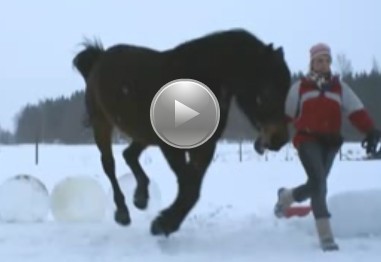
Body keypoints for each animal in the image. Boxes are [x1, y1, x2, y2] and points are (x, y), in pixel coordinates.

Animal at [72, 28, 290, 235]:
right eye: (268, 90)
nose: (280, 139)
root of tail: (99, 57)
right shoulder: (171, 146)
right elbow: (188, 186)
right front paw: (163, 224)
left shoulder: (205, 147)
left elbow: (192, 187)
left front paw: (165, 223)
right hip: (102, 124)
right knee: (109, 165)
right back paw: (123, 213)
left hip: (144, 135)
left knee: (129, 154)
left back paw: (141, 198)